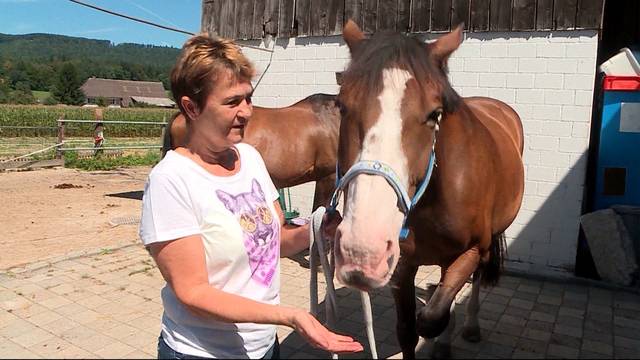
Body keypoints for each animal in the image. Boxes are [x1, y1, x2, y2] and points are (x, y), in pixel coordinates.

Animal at [330, 21, 524, 358]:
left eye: (435, 114)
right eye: (342, 106)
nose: (361, 250)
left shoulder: (471, 251)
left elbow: (432, 318)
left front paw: (441, 332)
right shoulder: (402, 264)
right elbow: (409, 330)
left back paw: (469, 327)